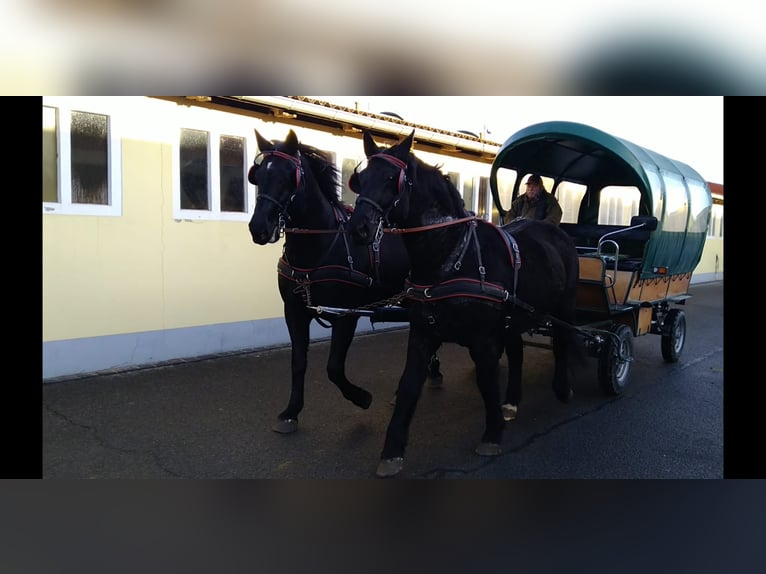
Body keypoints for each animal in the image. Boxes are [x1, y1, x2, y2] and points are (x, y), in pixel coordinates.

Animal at [250, 130, 444, 434]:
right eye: (257, 176)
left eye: (287, 177)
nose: (258, 227)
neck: (318, 247)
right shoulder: (294, 310)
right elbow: (298, 361)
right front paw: (291, 412)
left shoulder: (346, 314)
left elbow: (333, 367)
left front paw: (361, 397)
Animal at [350, 130, 584, 476]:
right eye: (361, 179)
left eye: (393, 178)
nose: (359, 228)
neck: (451, 256)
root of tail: (559, 235)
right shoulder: (422, 334)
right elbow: (408, 386)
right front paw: (392, 451)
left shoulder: (483, 339)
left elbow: (487, 381)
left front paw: (492, 434)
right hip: (514, 317)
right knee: (518, 353)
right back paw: (512, 401)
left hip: (563, 307)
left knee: (563, 341)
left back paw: (562, 388)